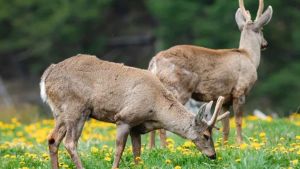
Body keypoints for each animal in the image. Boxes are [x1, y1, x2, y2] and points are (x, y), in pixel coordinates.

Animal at [39, 54, 230, 169]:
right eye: (206, 135)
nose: (213, 155)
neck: (155, 108)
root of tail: (46, 75)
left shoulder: (137, 127)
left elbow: (137, 153)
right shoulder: (124, 118)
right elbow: (119, 150)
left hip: (60, 113)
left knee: (52, 139)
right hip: (76, 107)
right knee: (70, 142)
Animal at [149, 0, 274, 147]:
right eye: (262, 30)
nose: (265, 44)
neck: (249, 56)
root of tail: (154, 62)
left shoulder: (225, 98)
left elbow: (226, 127)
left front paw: (226, 146)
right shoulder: (240, 90)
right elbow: (238, 121)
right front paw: (241, 144)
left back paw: (152, 148)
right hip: (177, 88)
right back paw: (166, 148)